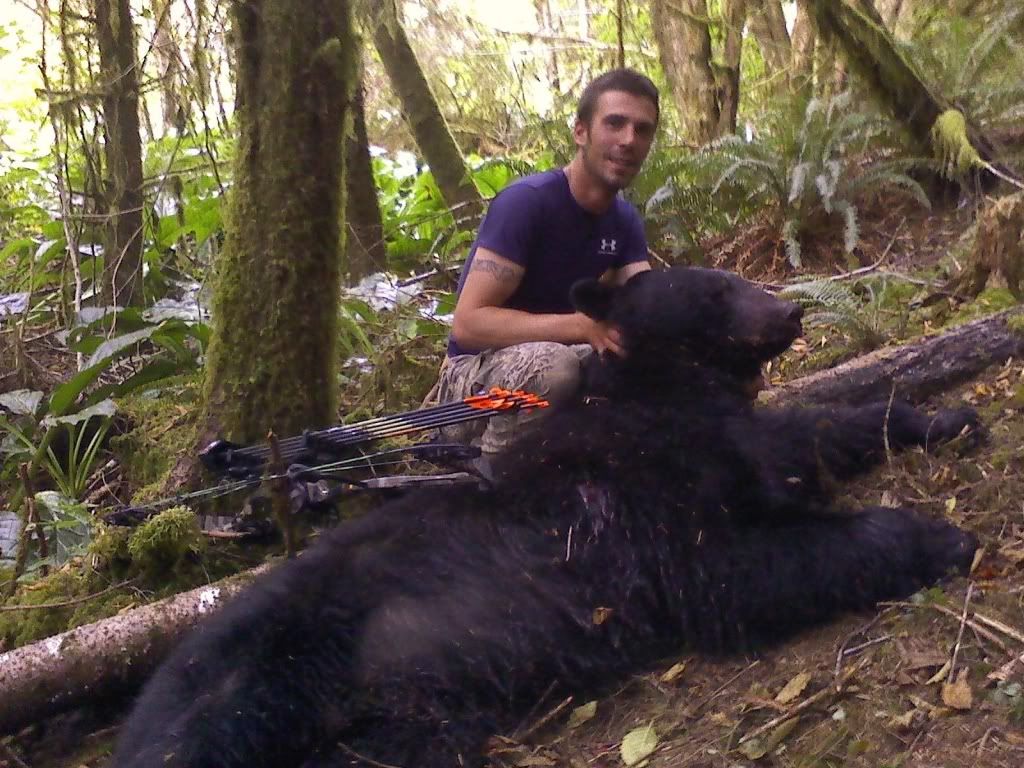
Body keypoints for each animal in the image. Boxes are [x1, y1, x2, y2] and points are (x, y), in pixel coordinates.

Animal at [111, 267, 979, 768]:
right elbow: (731, 571)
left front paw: (942, 416)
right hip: (251, 685)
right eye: (714, 289)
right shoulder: (641, 508)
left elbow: (815, 430)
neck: (668, 396)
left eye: (737, 279)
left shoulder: (738, 439)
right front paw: (938, 534)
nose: (790, 310)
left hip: (399, 717)